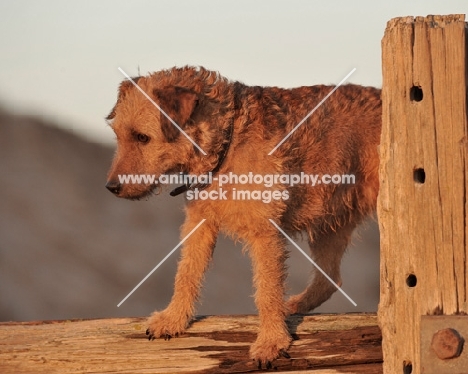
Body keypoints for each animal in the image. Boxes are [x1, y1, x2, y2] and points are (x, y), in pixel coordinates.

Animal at [105, 65, 380, 366]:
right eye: (118, 134)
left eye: (142, 137)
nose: (111, 187)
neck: (226, 141)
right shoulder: (199, 224)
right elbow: (186, 273)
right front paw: (173, 319)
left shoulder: (265, 233)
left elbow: (267, 291)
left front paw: (271, 341)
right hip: (329, 222)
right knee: (329, 279)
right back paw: (293, 306)